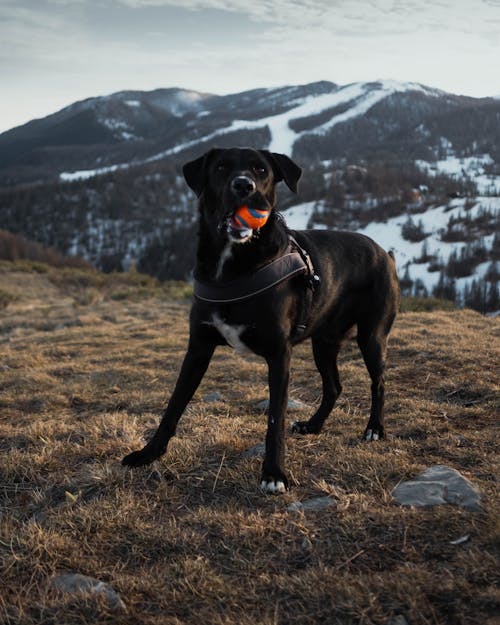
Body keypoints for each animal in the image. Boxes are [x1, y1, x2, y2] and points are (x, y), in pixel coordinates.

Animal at [123, 147, 400, 492]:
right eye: (221, 167)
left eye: (261, 170)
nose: (244, 186)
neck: (234, 262)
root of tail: (385, 253)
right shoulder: (198, 347)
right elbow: (174, 405)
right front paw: (148, 454)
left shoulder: (279, 355)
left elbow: (274, 419)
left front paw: (273, 474)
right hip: (323, 342)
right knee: (334, 386)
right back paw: (313, 425)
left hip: (372, 336)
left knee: (379, 382)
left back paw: (375, 428)